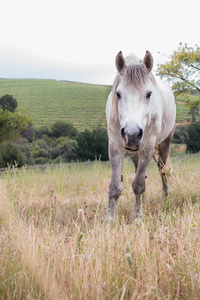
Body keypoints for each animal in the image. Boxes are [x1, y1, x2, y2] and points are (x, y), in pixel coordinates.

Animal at [105, 50, 176, 221]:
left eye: (149, 94)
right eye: (118, 94)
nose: (131, 134)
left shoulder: (148, 146)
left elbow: (138, 185)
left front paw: (137, 216)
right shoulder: (115, 145)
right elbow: (115, 185)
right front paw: (110, 218)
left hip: (165, 143)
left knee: (162, 169)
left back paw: (166, 197)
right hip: (133, 150)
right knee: (140, 172)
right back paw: (144, 199)